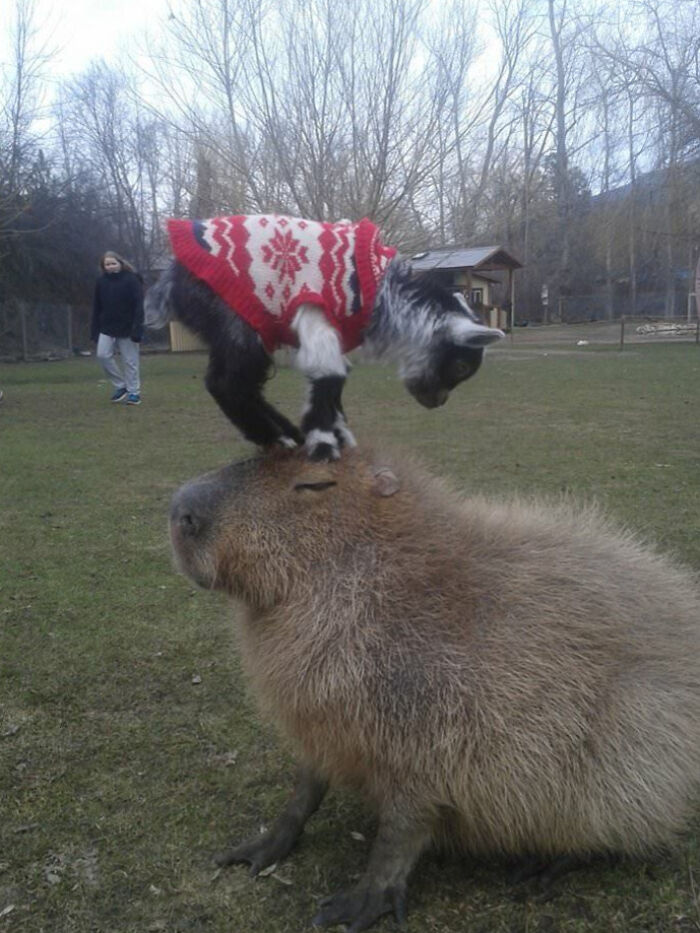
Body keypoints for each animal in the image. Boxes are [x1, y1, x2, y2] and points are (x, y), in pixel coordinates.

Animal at [144, 215, 503, 460]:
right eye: (460, 366)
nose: (437, 402)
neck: (384, 292)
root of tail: (171, 278)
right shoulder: (316, 312)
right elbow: (328, 372)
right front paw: (324, 443)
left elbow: (337, 376)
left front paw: (336, 432)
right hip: (236, 319)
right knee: (225, 383)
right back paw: (275, 438)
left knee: (247, 385)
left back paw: (287, 432)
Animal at [169, 446, 700, 932]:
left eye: (313, 483)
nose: (180, 510)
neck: (382, 579)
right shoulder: (321, 724)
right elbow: (307, 785)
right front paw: (261, 846)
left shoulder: (432, 736)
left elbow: (401, 831)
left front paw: (359, 903)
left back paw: (548, 862)